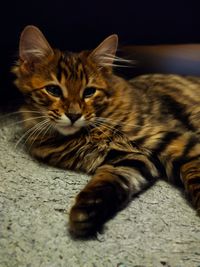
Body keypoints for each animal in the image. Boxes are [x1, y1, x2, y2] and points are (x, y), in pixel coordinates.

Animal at [12, 26, 200, 238]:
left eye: (89, 92)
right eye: (53, 90)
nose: (74, 115)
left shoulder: (175, 141)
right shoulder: (128, 158)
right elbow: (107, 182)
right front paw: (86, 213)